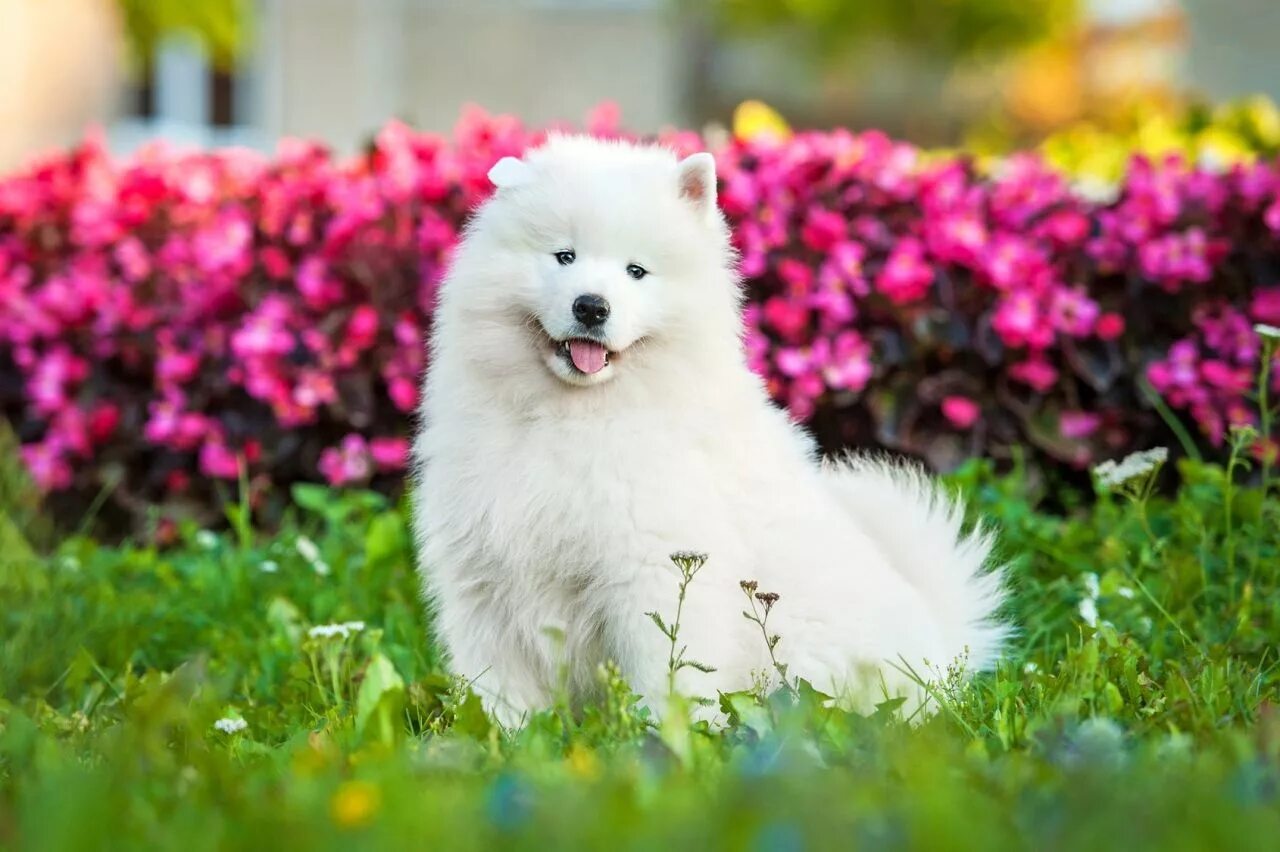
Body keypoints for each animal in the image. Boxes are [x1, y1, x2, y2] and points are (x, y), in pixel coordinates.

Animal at [414, 133, 1003, 721]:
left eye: (636, 271)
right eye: (564, 256)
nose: (591, 307)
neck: (573, 413)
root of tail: (942, 657)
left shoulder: (652, 570)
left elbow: (667, 673)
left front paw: (667, 734)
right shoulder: (484, 579)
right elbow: (498, 687)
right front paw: (502, 733)